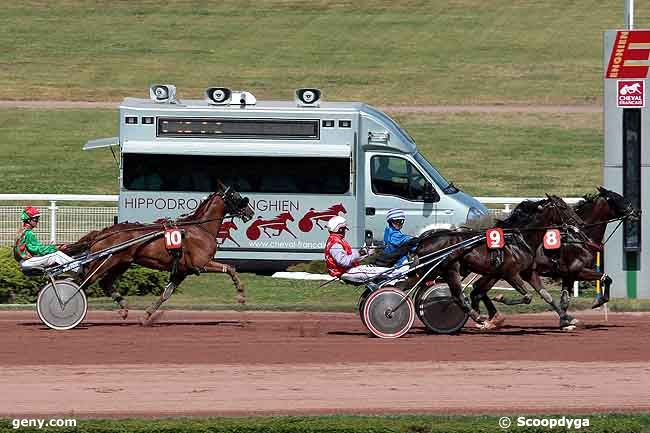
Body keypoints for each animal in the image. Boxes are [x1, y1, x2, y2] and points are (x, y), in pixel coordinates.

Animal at [62, 183, 251, 324]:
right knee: (82, 282)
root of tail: (103, 233)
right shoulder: (202, 264)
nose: (250, 212)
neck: (201, 228)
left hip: (121, 263)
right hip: (105, 262)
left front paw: (146, 316)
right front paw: (241, 295)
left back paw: (123, 308)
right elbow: (231, 268)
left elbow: (165, 294)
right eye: (235, 196)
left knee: (105, 283)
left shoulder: (182, 271)